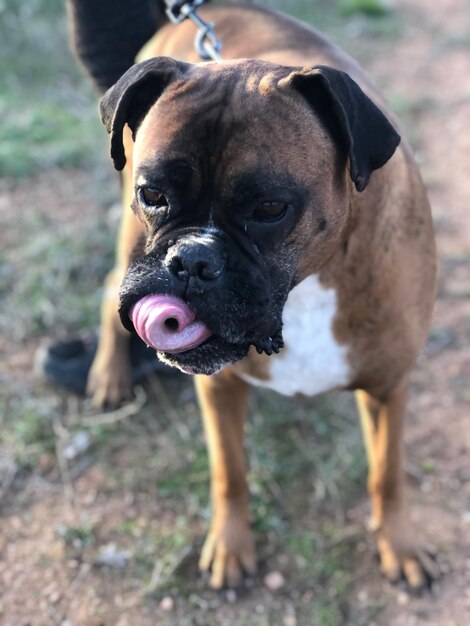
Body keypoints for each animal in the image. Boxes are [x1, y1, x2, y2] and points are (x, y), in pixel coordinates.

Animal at [93, 3, 438, 588]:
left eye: (271, 208)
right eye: (153, 194)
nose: (192, 261)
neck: (305, 288)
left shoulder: (389, 388)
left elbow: (386, 474)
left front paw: (401, 543)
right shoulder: (218, 388)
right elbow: (229, 472)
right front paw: (231, 545)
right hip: (128, 242)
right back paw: (108, 374)